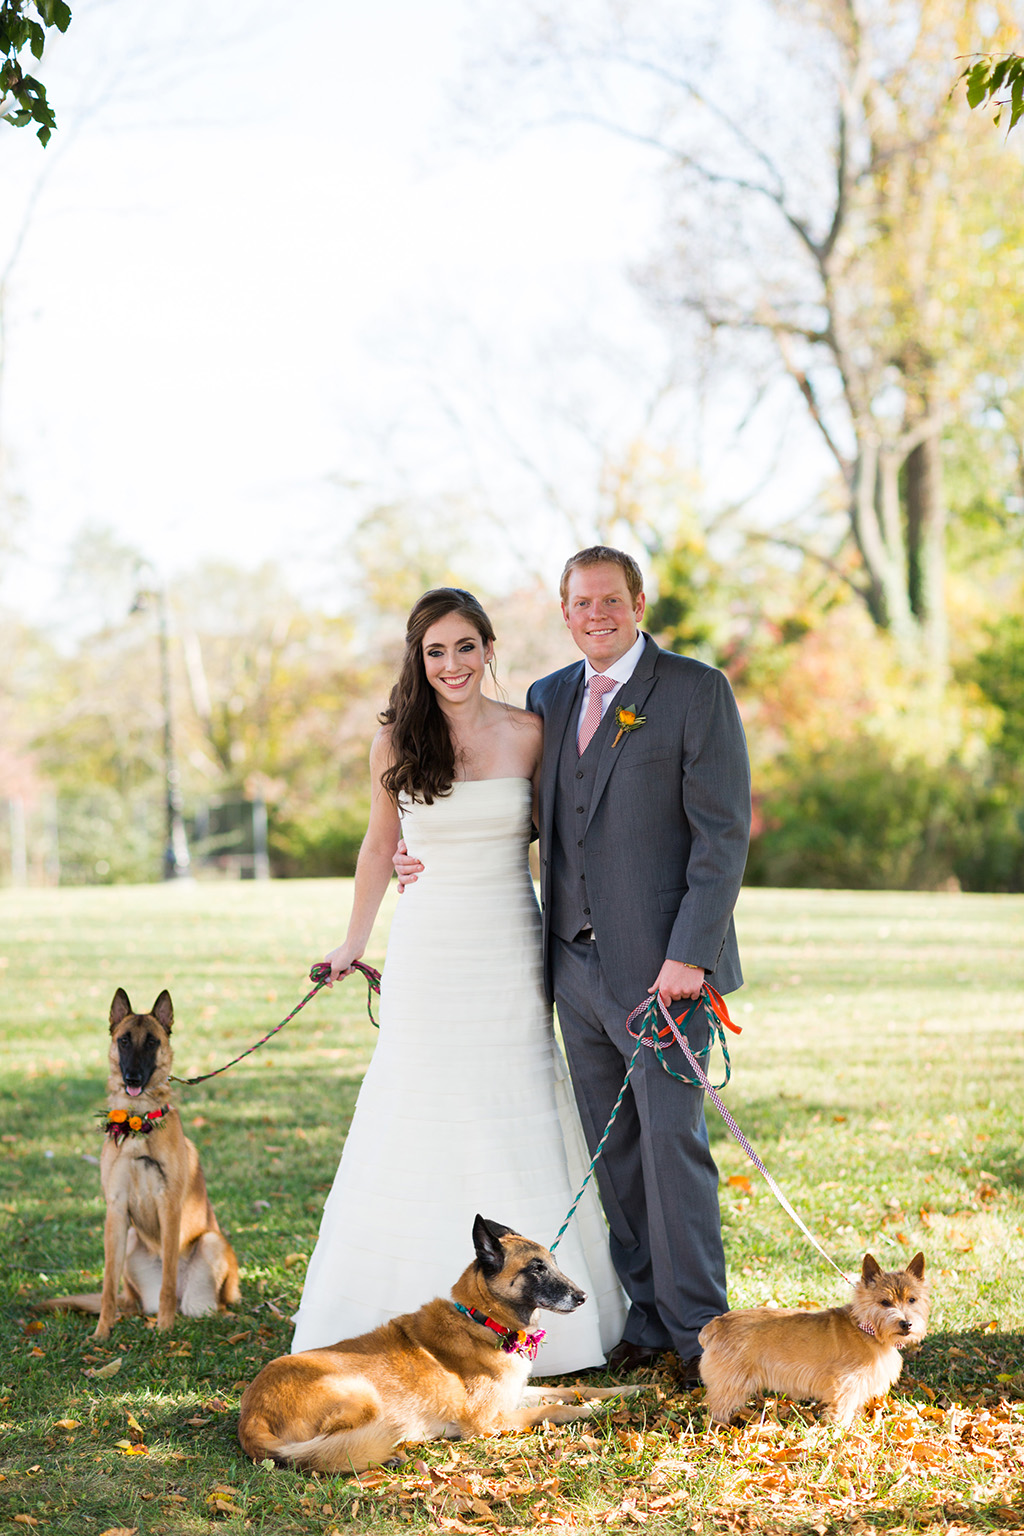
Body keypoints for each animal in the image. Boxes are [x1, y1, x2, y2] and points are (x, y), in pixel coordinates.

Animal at [44, 989, 241, 1339]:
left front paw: (164, 1330)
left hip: (211, 1244)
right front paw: (102, 1333)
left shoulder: (169, 1206)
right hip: (132, 1242)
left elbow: (168, 1281)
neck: (137, 1122)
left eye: (152, 1042)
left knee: (203, 1303)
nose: (132, 1078)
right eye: (123, 1041)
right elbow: (107, 1286)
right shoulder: (115, 1209)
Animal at [241, 1210, 641, 1474]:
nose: (583, 1297)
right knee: (326, 1452)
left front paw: (628, 1390)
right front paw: (596, 1413)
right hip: (362, 1395)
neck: (483, 1320)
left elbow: (573, 1388)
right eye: (536, 1268)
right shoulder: (490, 1420)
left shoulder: (515, 1395)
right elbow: (555, 1409)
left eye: (554, 1263)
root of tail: (251, 1414)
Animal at [696, 1247, 927, 1425]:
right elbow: (842, 1411)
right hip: (732, 1381)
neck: (866, 1328)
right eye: (885, 1302)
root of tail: (717, 1324)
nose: (906, 1324)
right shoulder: (846, 1384)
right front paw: (842, 1434)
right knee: (717, 1408)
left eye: (912, 1300)